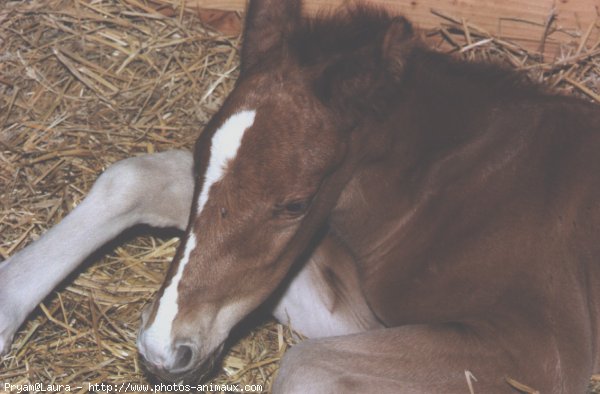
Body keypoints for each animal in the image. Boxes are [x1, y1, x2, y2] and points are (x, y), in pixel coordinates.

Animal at [1, 1, 600, 392]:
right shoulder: (357, 313)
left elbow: (304, 366)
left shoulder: (539, 348)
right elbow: (142, 177)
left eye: (295, 203)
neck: (455, 183)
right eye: (200, 164)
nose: (163, 348)